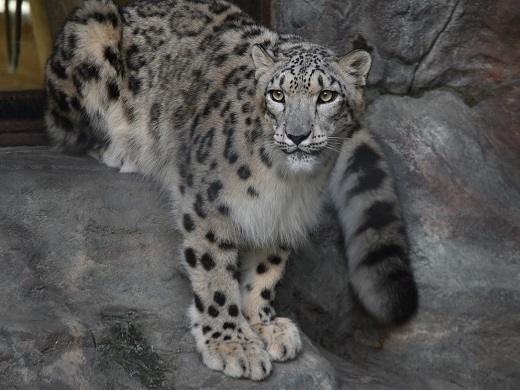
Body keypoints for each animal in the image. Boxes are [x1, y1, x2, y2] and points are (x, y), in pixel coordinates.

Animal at [44, 0, 418, 380]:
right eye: (277, 95)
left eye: (326, 96)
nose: (297, 135)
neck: (285, 181)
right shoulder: (208, 203)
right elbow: (215, 274)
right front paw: (232, 344)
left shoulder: (281, 214)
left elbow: (268, 269)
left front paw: (265, 325)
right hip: (91, 29)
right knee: (70, 133)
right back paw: (122, 151)